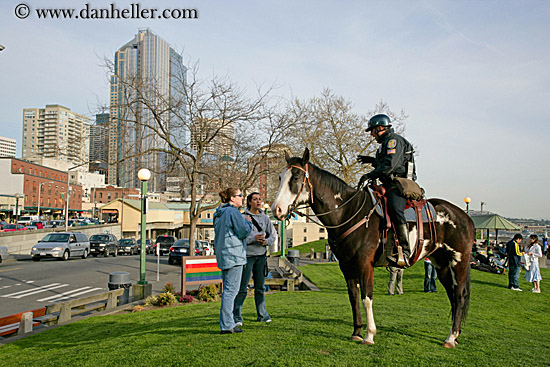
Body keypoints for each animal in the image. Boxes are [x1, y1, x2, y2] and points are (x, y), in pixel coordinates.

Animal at [272, 149, 474, 348]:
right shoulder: (346, 266)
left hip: (458, 262)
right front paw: (356, 332)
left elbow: (366, 298)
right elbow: (353, 297)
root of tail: (466, 217)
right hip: (442, 265)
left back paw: (450, 338)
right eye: (280, 177)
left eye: (295, 177)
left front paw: (369, 335)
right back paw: (455, 335)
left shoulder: (364, 264)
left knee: (459, 295)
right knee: (453, 296)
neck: (350, 212)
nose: (276, 209)